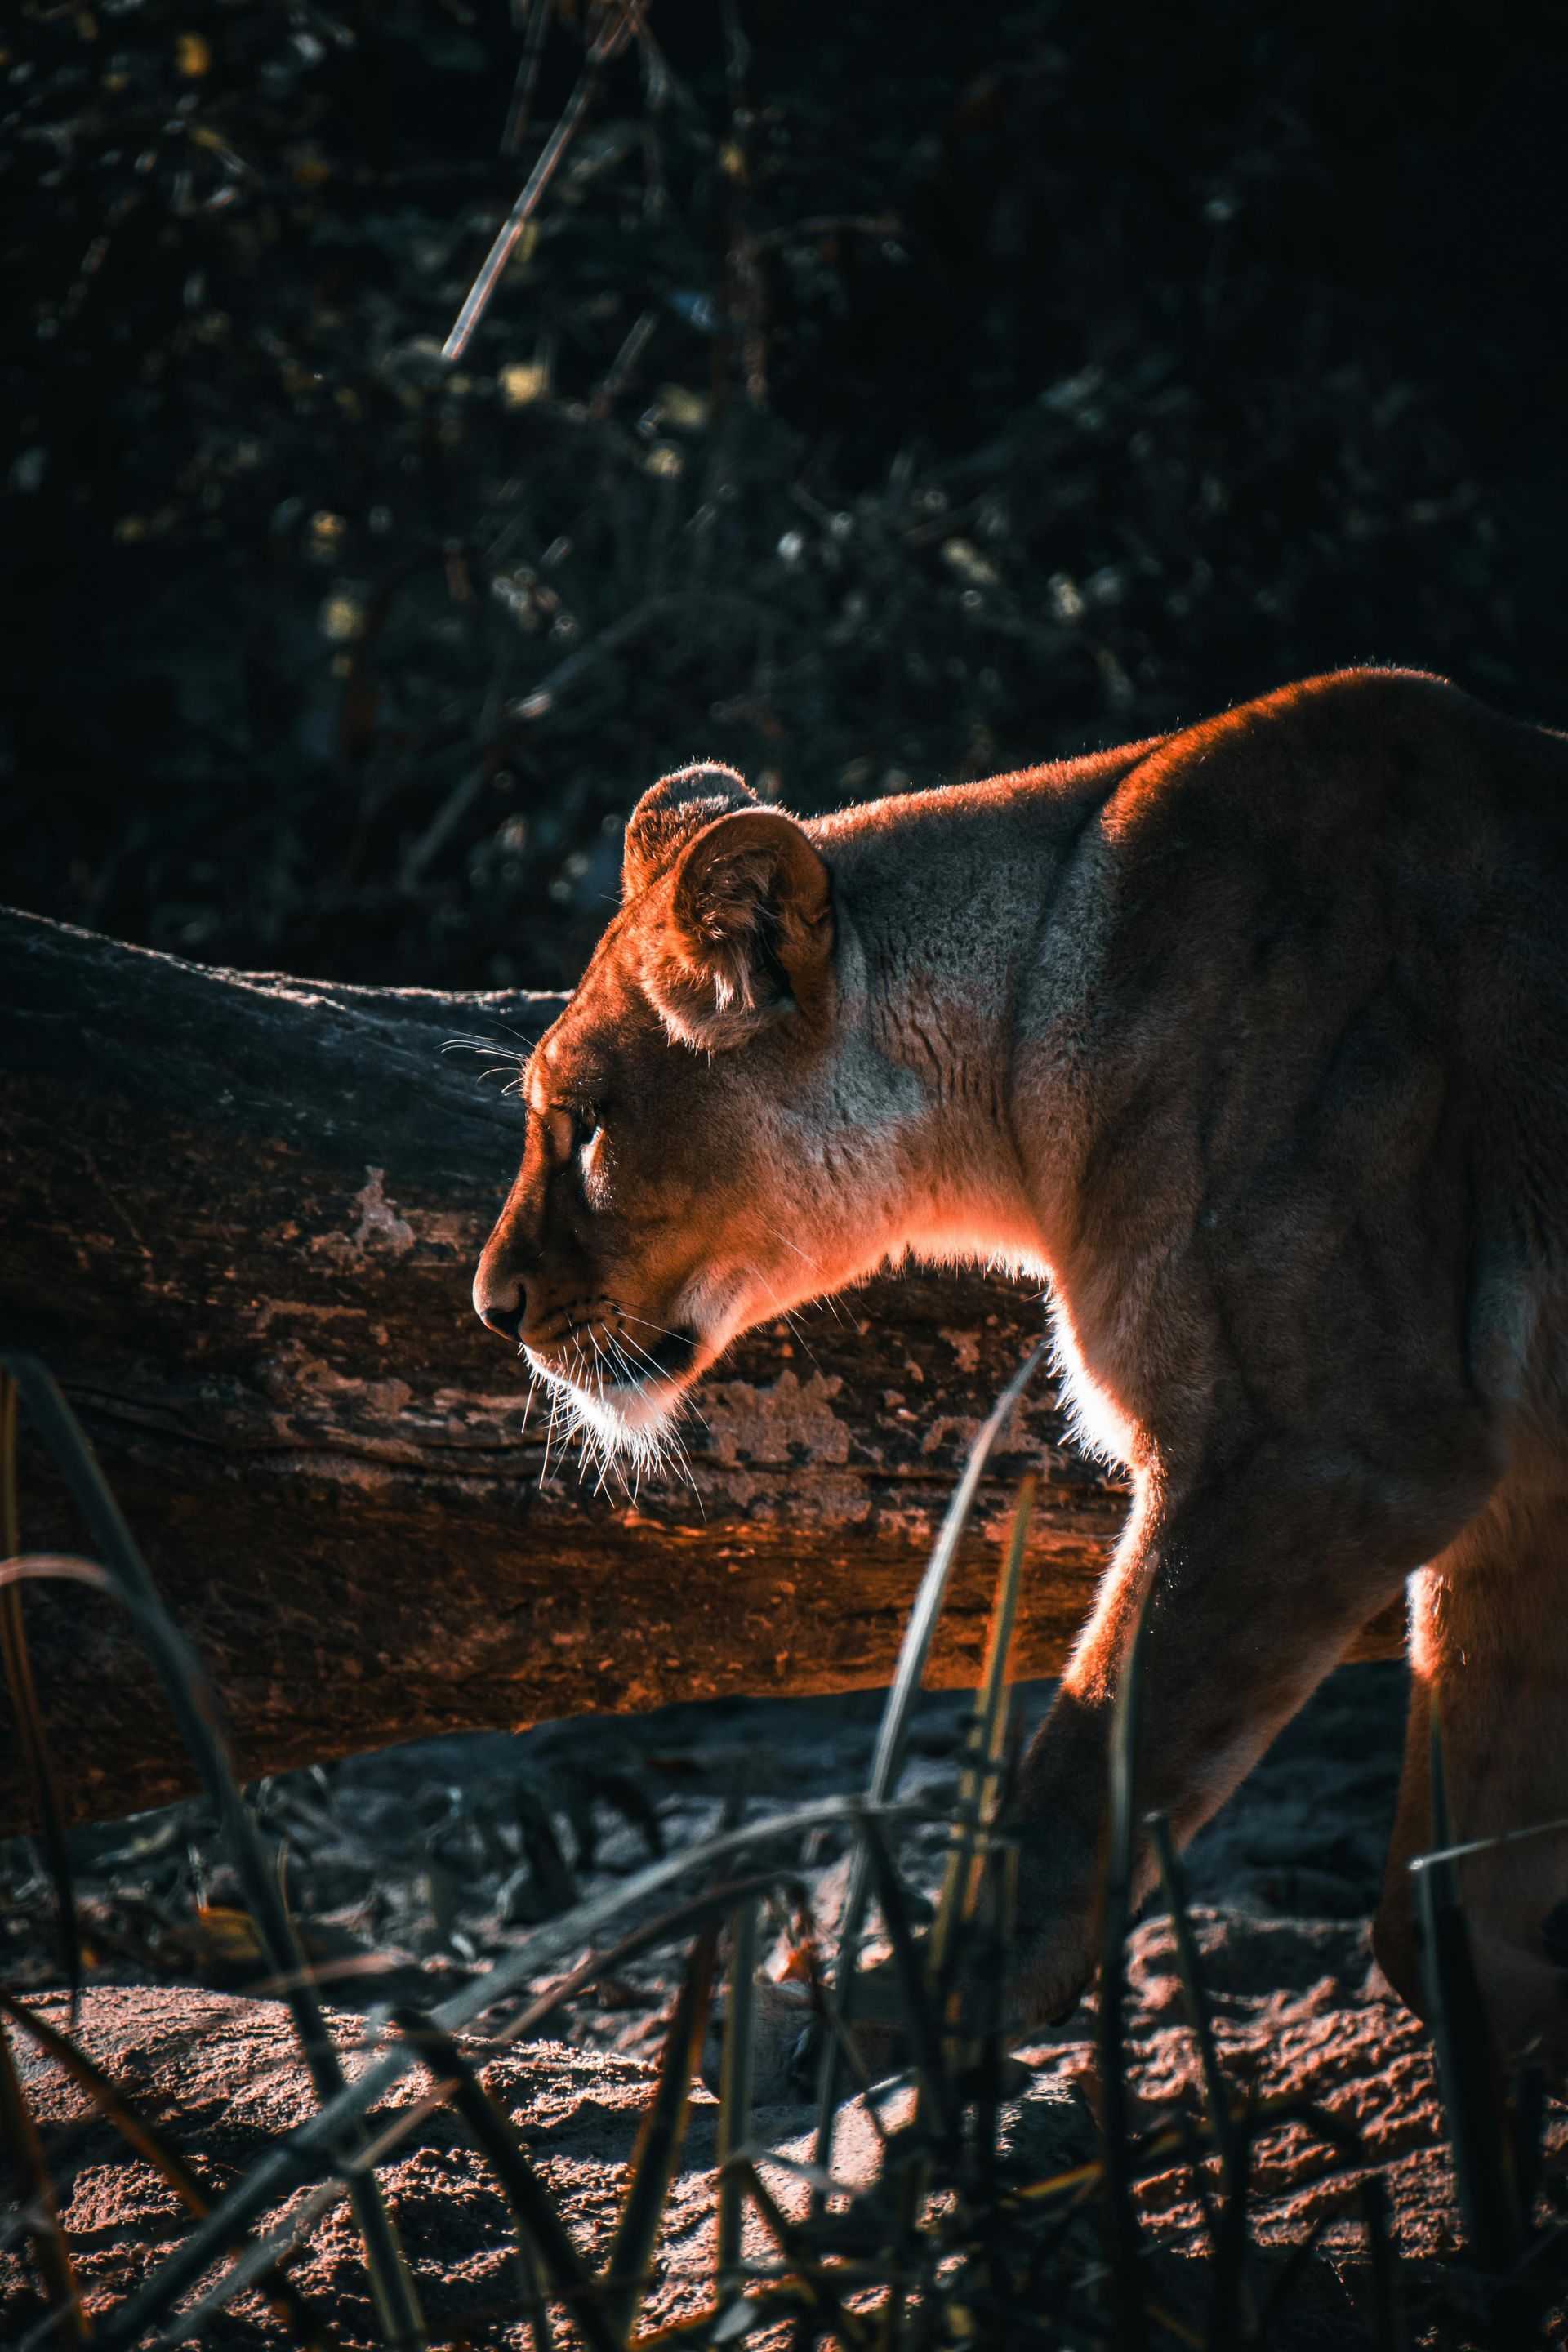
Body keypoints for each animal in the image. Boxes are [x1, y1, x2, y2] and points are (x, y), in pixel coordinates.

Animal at [473, 667, 1568, 2063]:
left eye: (587, 1123)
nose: (491, 1308)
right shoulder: (1519, 1500)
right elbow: (1453, 1915)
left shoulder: (1329, 1450)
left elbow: (1081, 1781)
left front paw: (905, 2009)